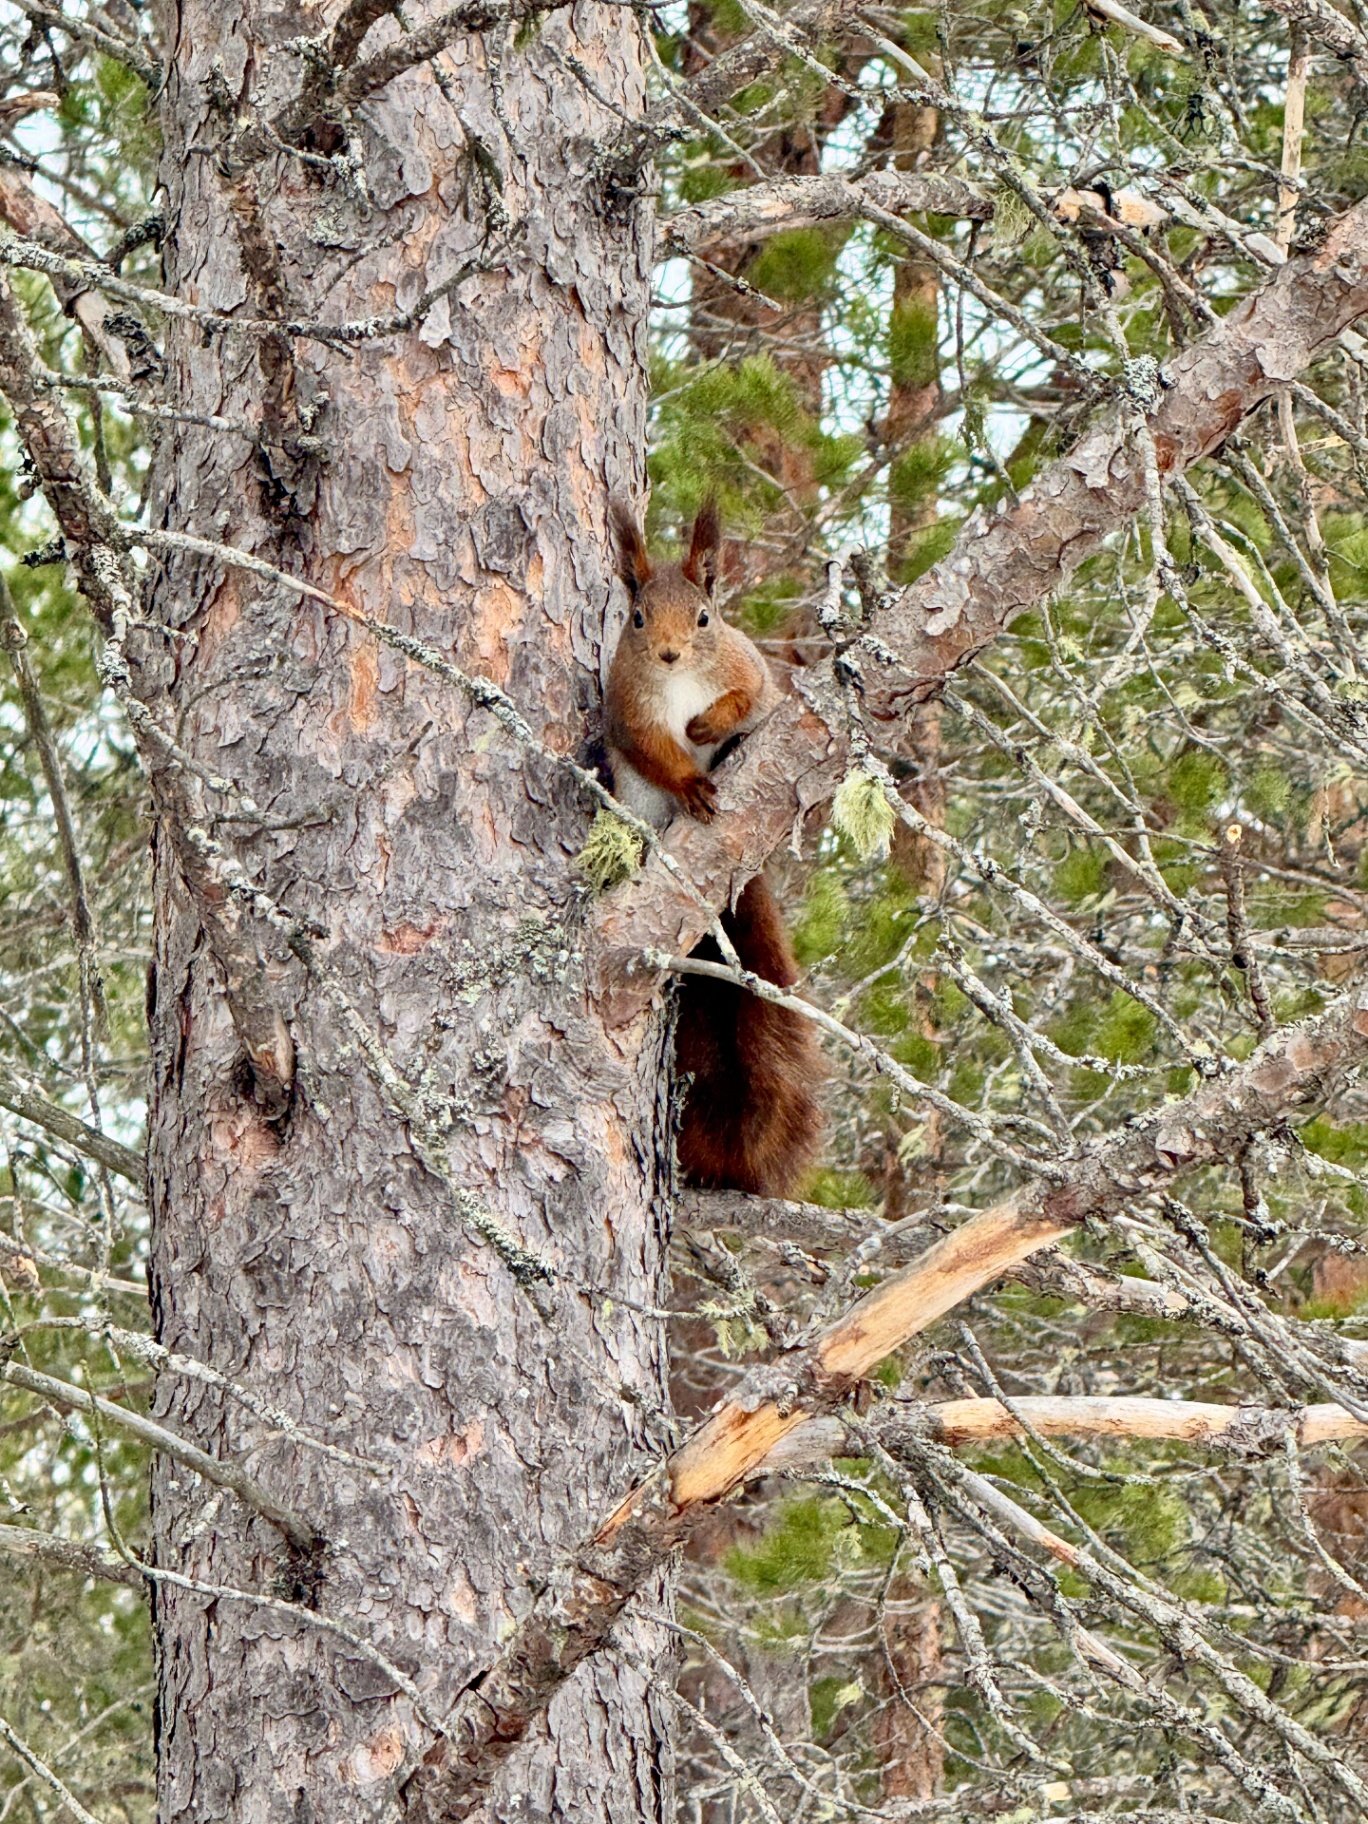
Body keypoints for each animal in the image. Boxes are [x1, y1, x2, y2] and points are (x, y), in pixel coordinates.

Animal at [605, 497, 824, 1197]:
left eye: (705, 617)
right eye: (638, 617)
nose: (670, 654)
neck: (677, 686)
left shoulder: (746, 668)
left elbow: (744, 695)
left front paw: (708, 727)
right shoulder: (630, 714)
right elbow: (656, 753)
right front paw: (691, 783)